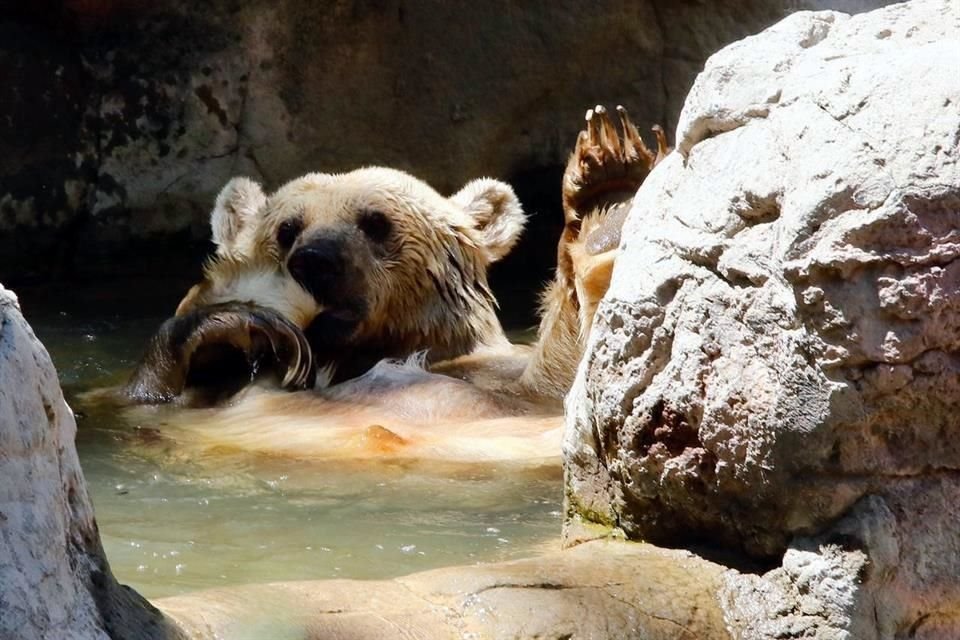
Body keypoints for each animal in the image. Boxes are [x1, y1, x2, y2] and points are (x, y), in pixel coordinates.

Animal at [120, 107, 668, 462]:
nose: (315, 260)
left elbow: (565, 388)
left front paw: (609, 186)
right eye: (287, 229)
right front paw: (233, 324)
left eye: (375, 222)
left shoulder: (502, 377)